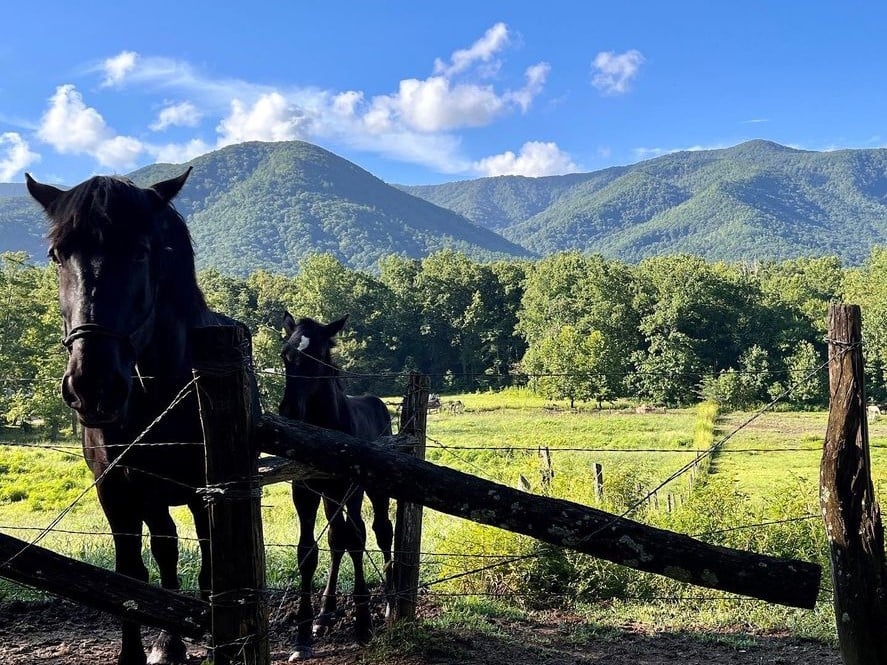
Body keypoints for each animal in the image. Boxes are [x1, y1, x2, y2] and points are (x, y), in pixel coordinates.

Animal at [26, 169, 256, 660]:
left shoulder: (206, 495)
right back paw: (168, 644)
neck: (156, 395)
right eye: (57, 255)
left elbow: (210, 576)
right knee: (165, 549)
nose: (92, 385)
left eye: (140, 251)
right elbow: (129, 578)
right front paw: (137, 651)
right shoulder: (116, 493)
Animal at [280, 314, 394, 660]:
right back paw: (324, 614)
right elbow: (308, 551)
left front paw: (364, 625)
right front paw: (302, 636)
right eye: (285, 356)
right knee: (335, 538)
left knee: (382, 532)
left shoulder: (352, 489)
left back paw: (390, 604)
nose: (288, 412)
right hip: (330, 496)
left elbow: (357, 539)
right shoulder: (303, 491)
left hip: (374, 490)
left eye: (318, 357)